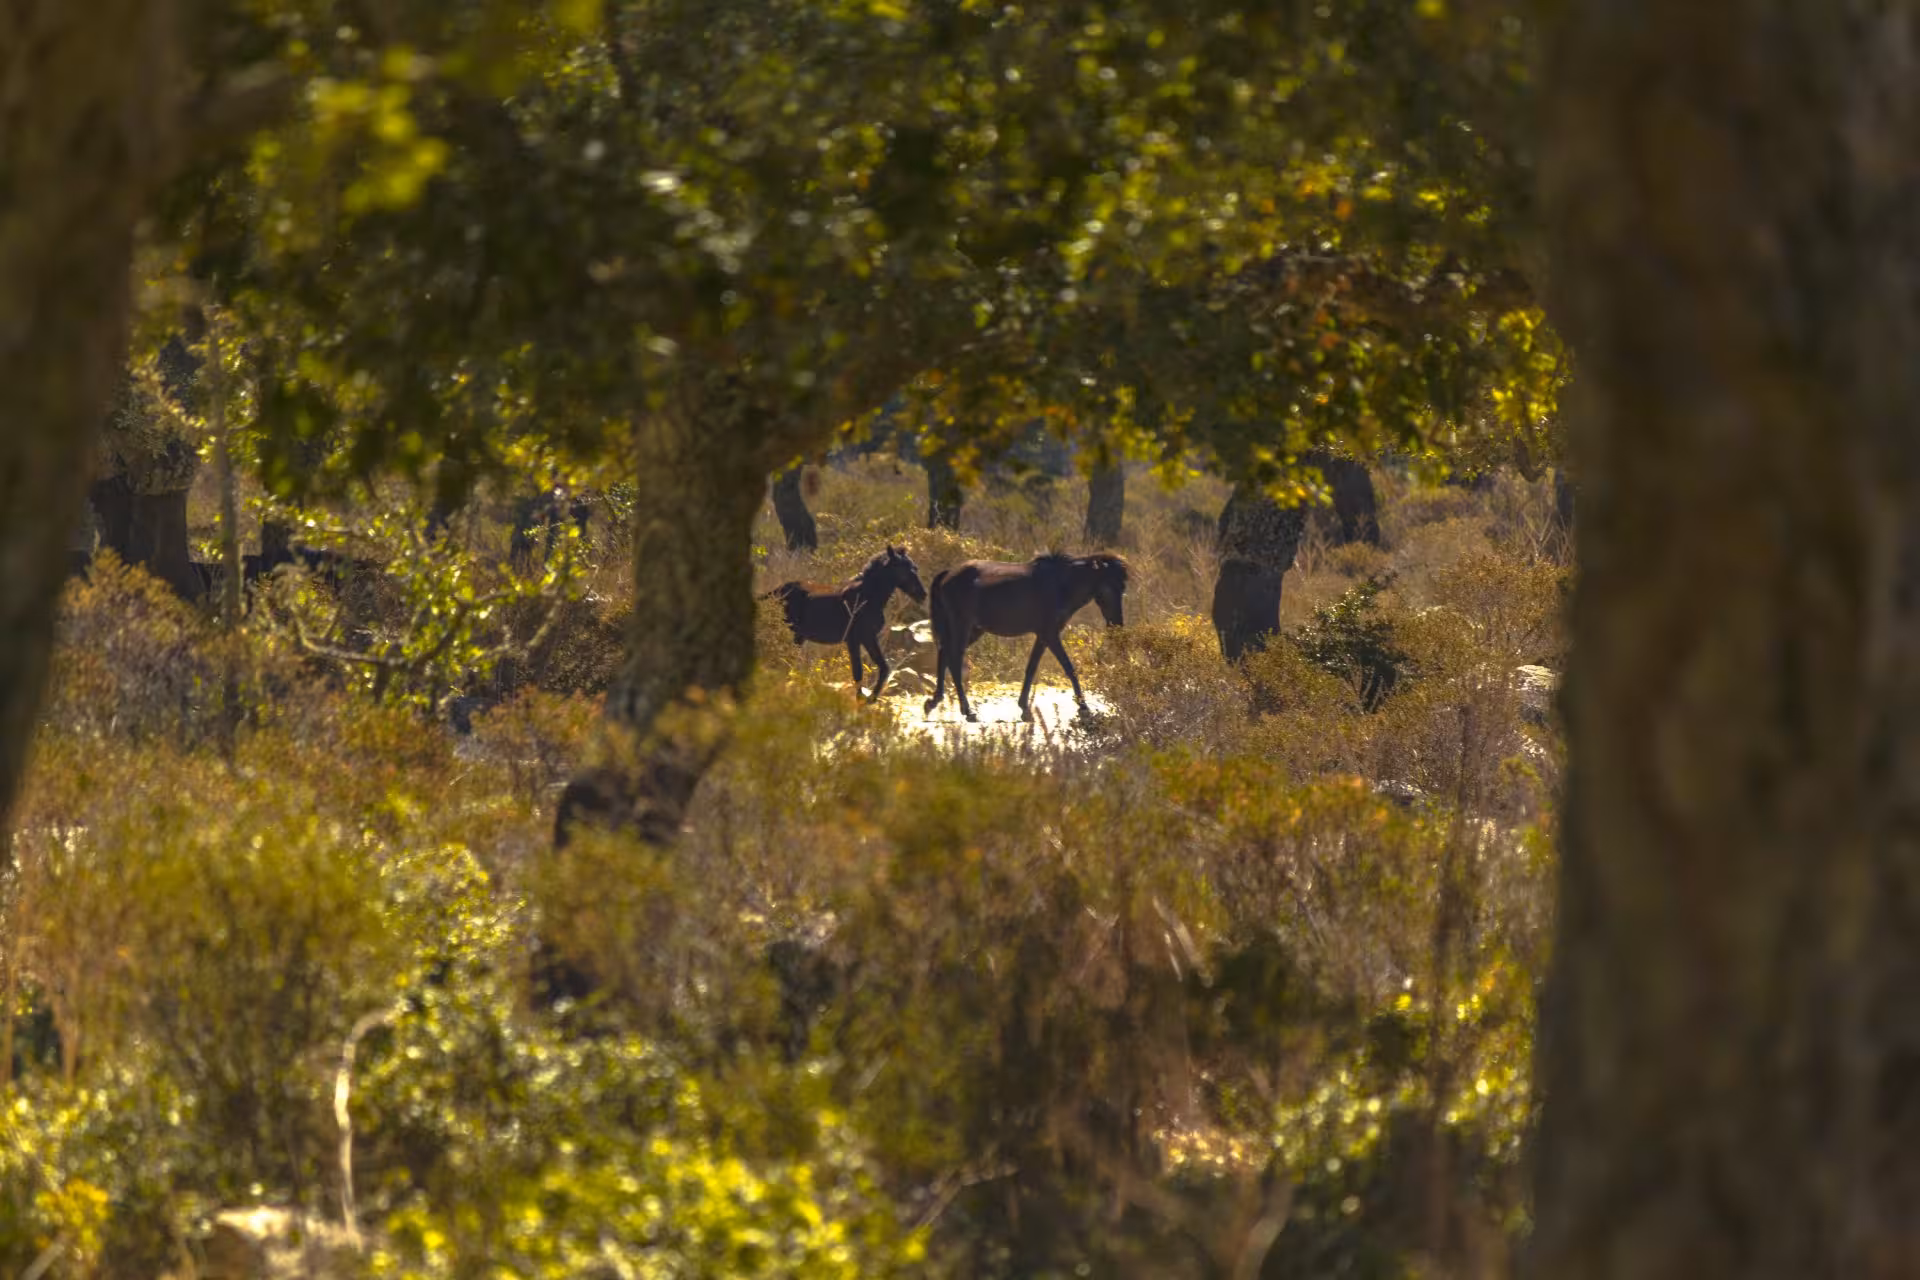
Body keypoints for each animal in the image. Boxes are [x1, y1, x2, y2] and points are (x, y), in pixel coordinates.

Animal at [765, 544, 928, 700]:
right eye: (904, 570)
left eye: (915, 568)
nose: (923, 594)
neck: (869, 597)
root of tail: (775, 591)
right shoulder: (857, 639)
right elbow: (858, 673)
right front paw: (864, 700)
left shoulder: (867, 638)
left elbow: (883, 667)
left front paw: (871, 698)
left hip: (799, 636)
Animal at [923, 552, 1128, 723]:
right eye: (1110, 586)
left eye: (1122, 587)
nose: (1117, 623)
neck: (1061, 585)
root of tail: (948, 574)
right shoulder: (1050, 634)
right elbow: (1069, 668)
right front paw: (1084, 708)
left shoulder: (1043, 636)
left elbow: (1031, 668)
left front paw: (1024, 708)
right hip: (962, 626)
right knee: (954, 659)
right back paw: (967, 710)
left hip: (973, 629)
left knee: (944, 653)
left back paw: (935, 701)